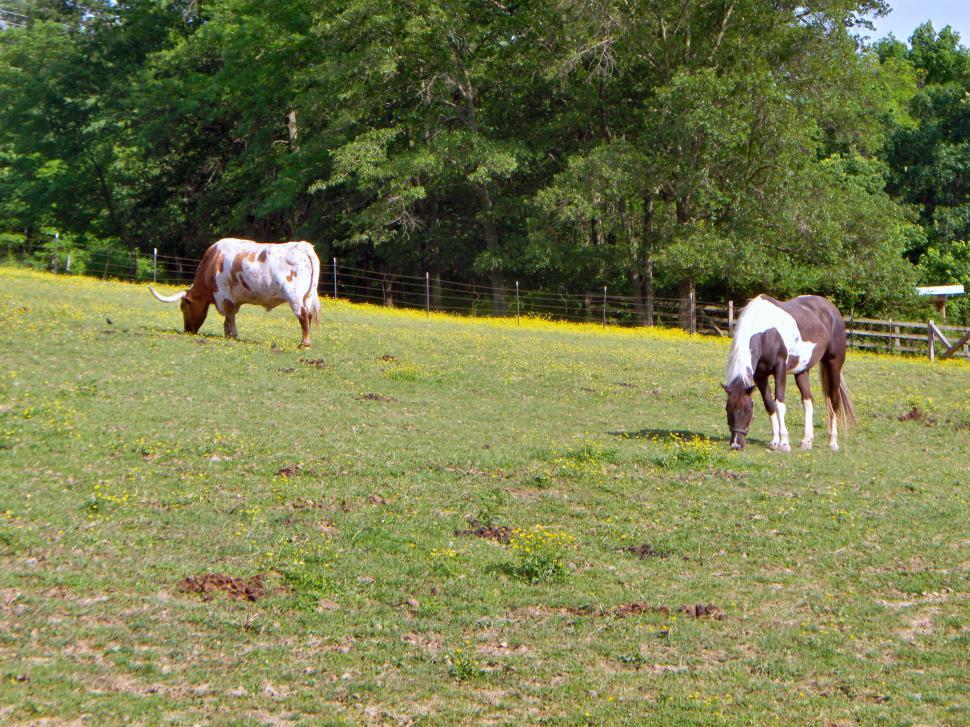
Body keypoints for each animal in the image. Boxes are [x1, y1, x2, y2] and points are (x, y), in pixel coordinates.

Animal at [148, 239, 322, 346]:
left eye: (184, 308)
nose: (188, 331)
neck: (213, 262)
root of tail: (303, 246)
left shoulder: (223, 297)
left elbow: (228, 316)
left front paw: (230, 334)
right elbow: (230, 316)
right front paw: (230, 334)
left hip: (295, 297)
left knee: (303, 317)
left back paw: (304, 343)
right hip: (306, 297)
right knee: (309, 316)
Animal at [720, 292, 856, 452]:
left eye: (748, 409)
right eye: (727, 409)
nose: (736, 444)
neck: (767, 332)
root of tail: (832, 309)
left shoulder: (780, 370)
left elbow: (779, 404)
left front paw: (784, 443)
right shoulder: (760, 376)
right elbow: (769, 405)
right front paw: (774, 441)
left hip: (833, 365)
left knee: (833, 400)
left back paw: (833, 442)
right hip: (802, 371)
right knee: (808, 401)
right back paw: (806, 441)